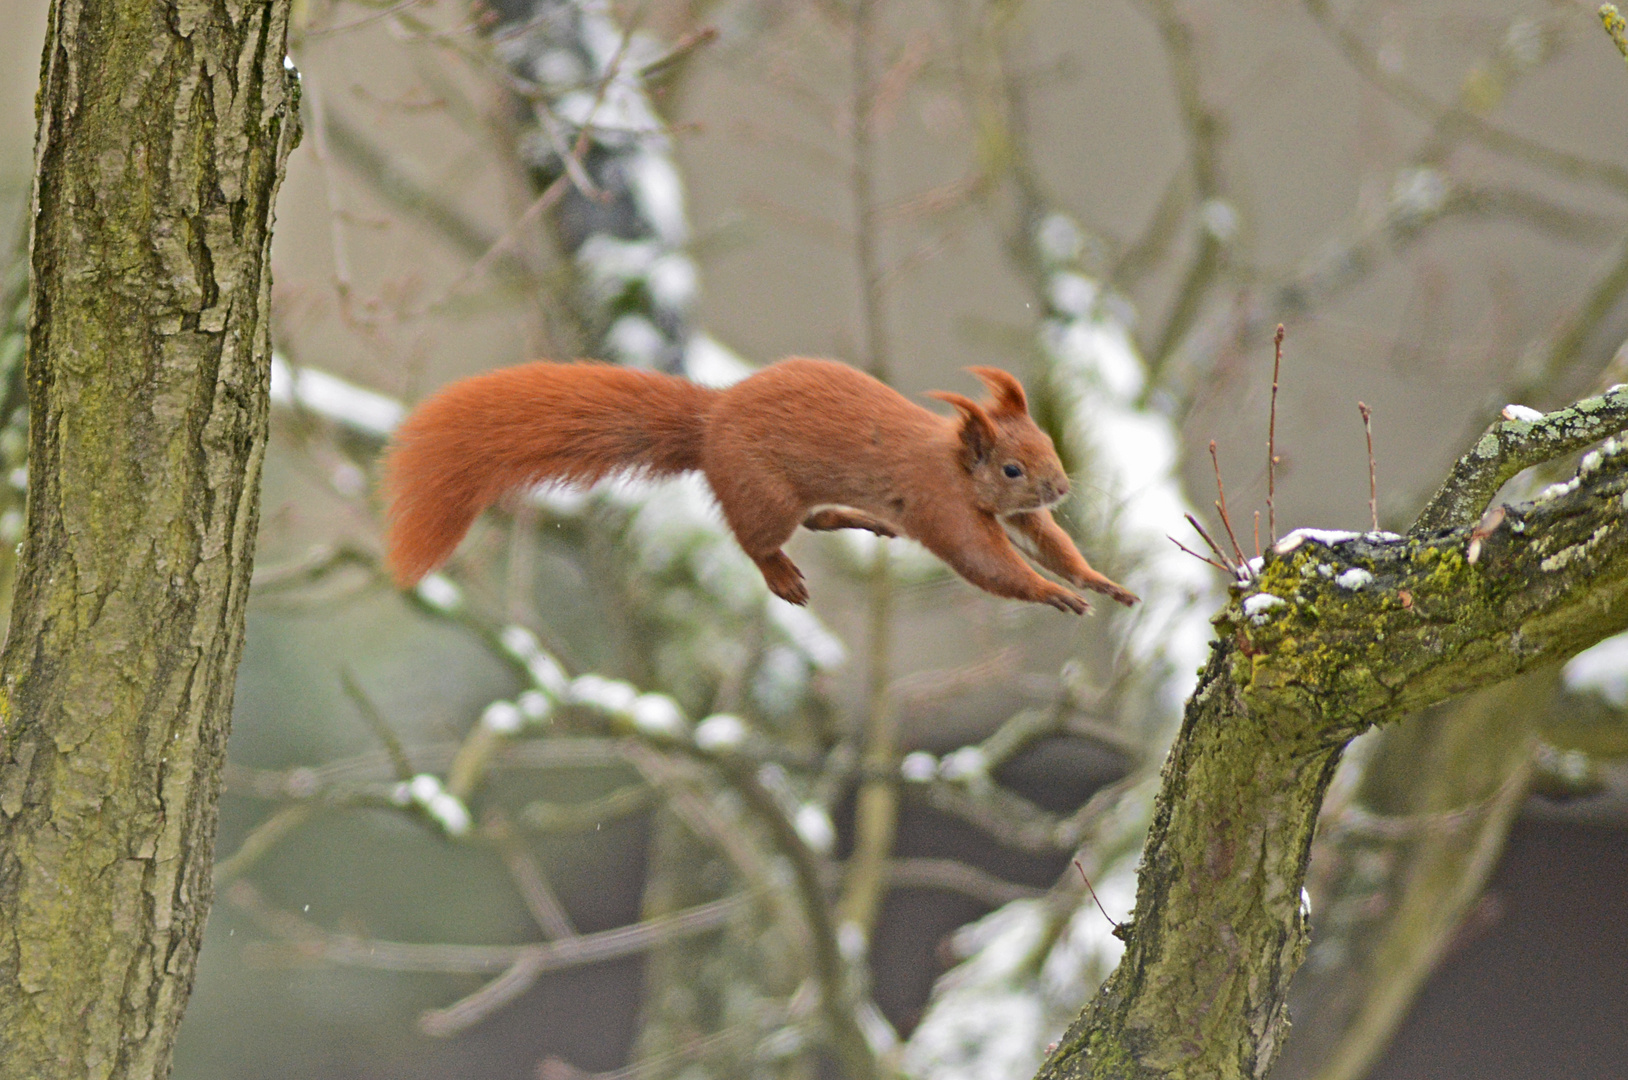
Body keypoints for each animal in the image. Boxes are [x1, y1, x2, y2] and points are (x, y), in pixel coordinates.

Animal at [385, 356, 1139, 615]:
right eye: (1011, 467)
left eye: (1046, 446)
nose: (1059, 487)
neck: (955, 462)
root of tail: (711, 420)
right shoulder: (944, 505)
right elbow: (988, 564)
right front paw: (1051, 594)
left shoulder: (1017, 515)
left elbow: (1048, 542)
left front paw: (1100, 582)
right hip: (762, 491)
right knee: (759, 538)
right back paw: (783, 576)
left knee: (810, 521)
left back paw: (863, 522)